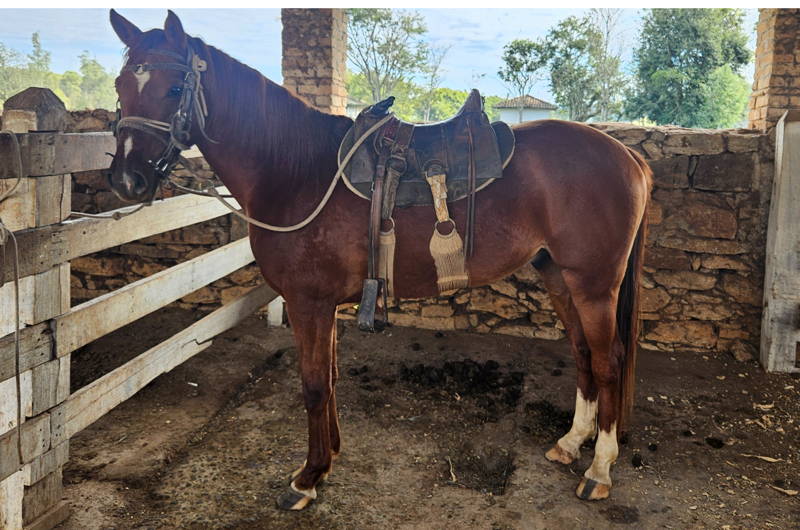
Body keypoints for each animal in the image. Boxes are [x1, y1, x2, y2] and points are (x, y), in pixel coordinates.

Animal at [107, 10, 652, 510]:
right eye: (120, 85)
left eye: (176, 87)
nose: (127, 180)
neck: (295, 173)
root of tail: (627, 155)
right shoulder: (323, 306)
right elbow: (328, 379)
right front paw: (329, 456)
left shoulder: (308, 303)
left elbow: (312, 384)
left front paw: (307, 478)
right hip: (558, 275)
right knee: (582, 353)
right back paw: (570, 443)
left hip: (594, 284)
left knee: (608, 361)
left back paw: (600, 469)